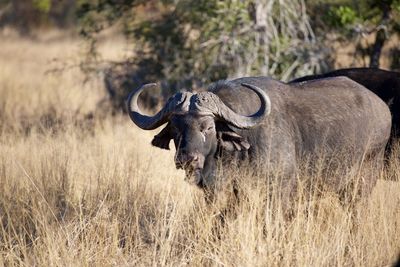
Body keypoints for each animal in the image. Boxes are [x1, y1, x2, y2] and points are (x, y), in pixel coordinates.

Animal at [126, 77, 390, 199]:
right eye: (175, 128)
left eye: (208, 127)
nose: (187, 160)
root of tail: (382, 108)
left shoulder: (280, 192)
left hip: (362, 182)